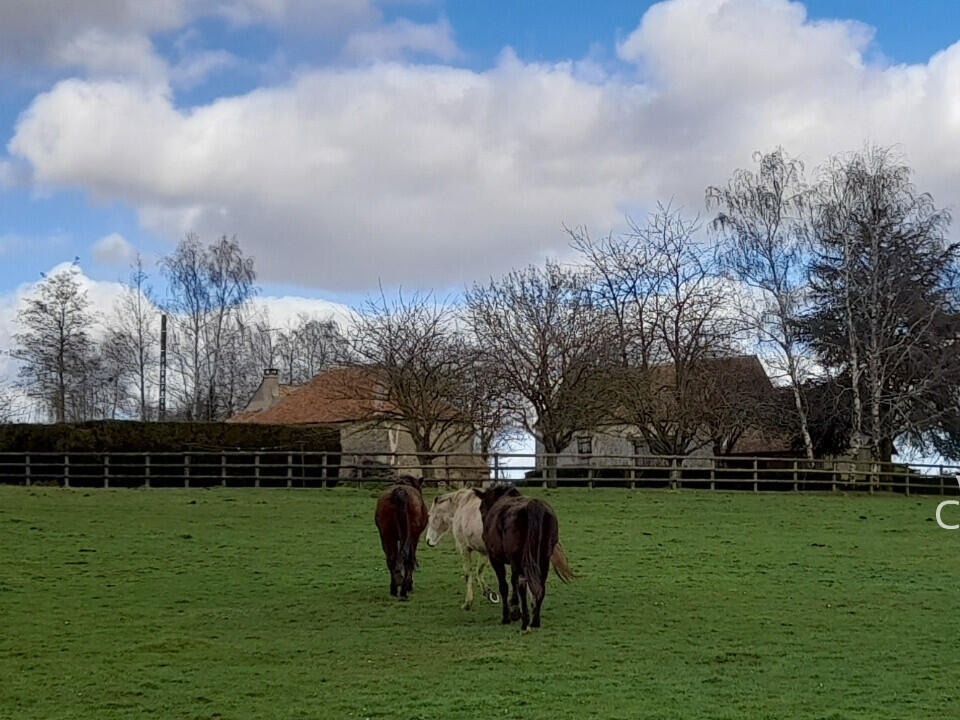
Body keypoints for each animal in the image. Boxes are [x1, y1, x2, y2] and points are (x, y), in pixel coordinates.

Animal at [476, 484, 572, 632]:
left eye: (481, 508)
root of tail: (533, 505)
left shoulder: (496, 559)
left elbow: (504, 586)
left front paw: (508, 616)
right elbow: (513, 581)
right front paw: (515, 609)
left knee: (522, 584)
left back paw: (525, 621)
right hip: (543, 559)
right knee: (540, 585)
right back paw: (535, 620)